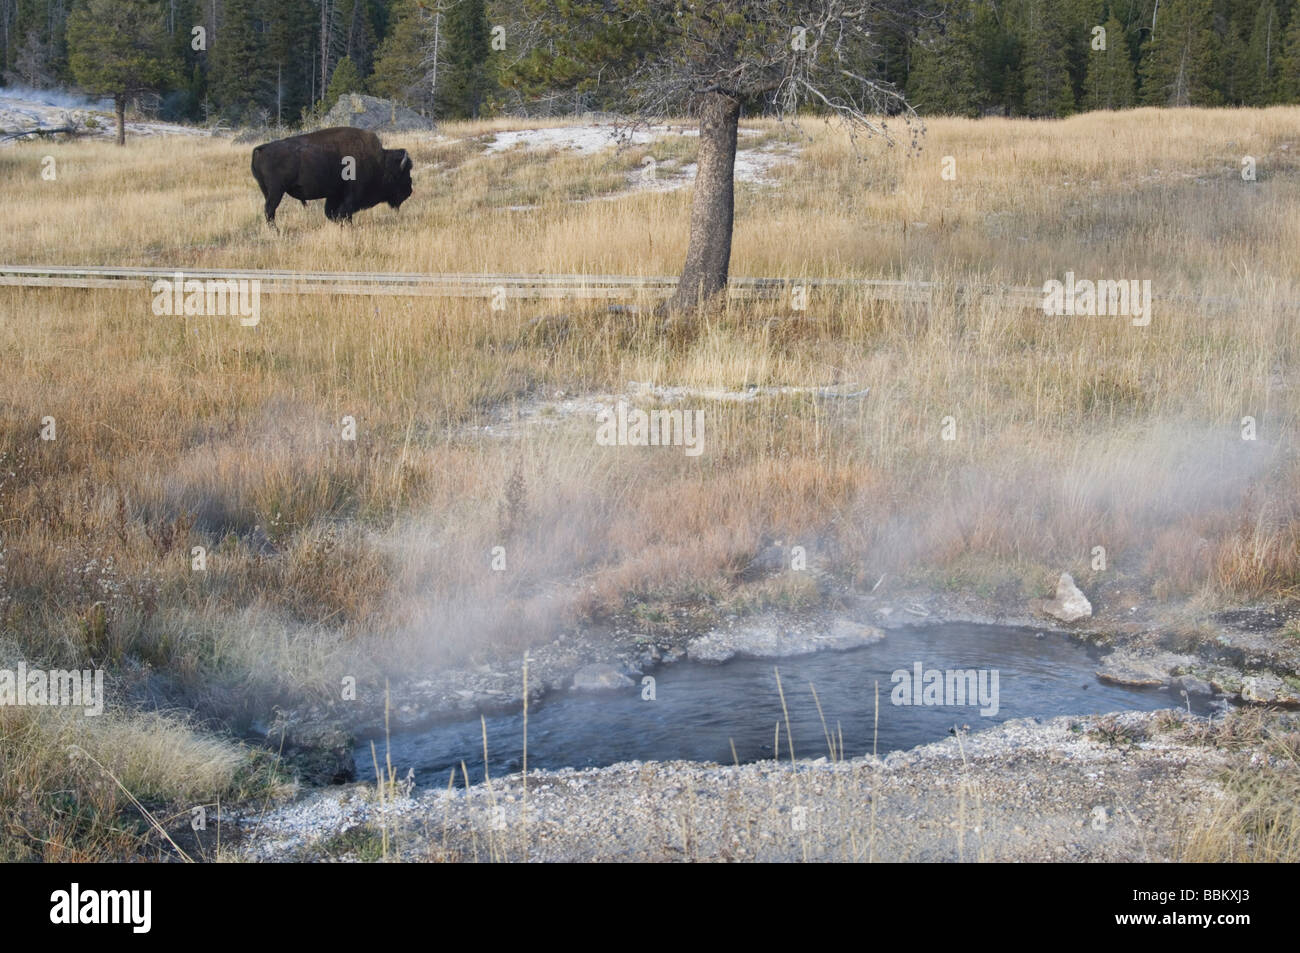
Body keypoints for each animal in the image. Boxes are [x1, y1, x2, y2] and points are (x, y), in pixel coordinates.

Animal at [250, 125, 413, 227]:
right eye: (403, 174)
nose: (409, 191)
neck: (380, 162)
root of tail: (261, 149)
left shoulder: (334, 195)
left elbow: (331, 213)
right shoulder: (351, 195)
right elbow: (344, 213)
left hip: (268, 191)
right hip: (276, 192)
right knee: (270, 210)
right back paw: (276, 232)